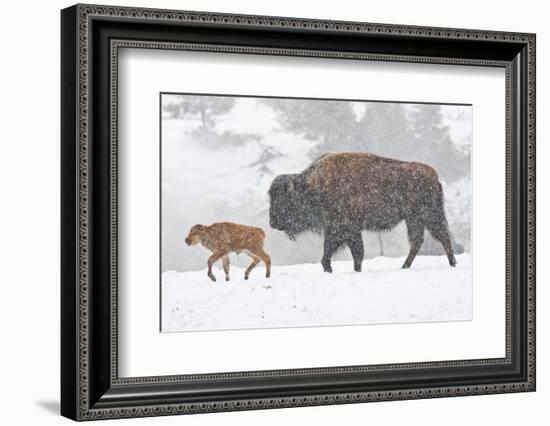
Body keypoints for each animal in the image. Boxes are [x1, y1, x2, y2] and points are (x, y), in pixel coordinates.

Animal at [270, 153, 458, 272]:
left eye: (283, 200)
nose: (272, 223)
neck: (313, 187)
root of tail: (434, 175)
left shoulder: (344, 229)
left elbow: (352, 253)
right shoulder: (341, 230)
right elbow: (345, 253)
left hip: (428, 215)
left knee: (442, 236)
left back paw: (452, 263)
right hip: (413, 219)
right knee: (418, 241)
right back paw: (405, 266)